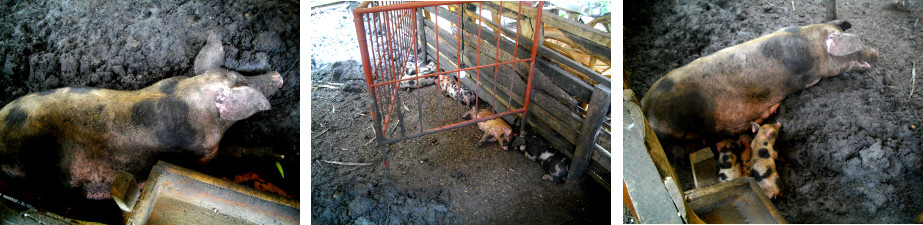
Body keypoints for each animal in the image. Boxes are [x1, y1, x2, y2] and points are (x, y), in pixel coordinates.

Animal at [0, 32, 286, 200]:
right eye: (241, 83)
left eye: (238, 74)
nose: (278, 75)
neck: (192, 98)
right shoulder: (202, 154)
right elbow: (233, 152)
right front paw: (277, 153)